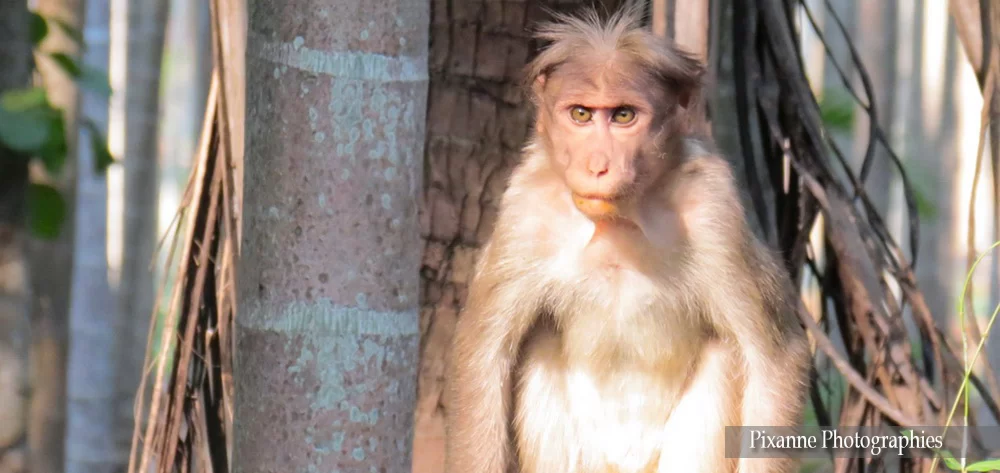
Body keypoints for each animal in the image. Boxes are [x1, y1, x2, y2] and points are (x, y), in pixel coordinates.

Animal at [443, 6, 811, 473]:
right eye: (581, 114)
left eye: (623, 116)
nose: (597, 165)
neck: (617, 221)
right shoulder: (525, 210)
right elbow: (485, 351)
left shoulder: (714, 211)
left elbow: (775, 359)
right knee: (538, 339)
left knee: (725, 353)